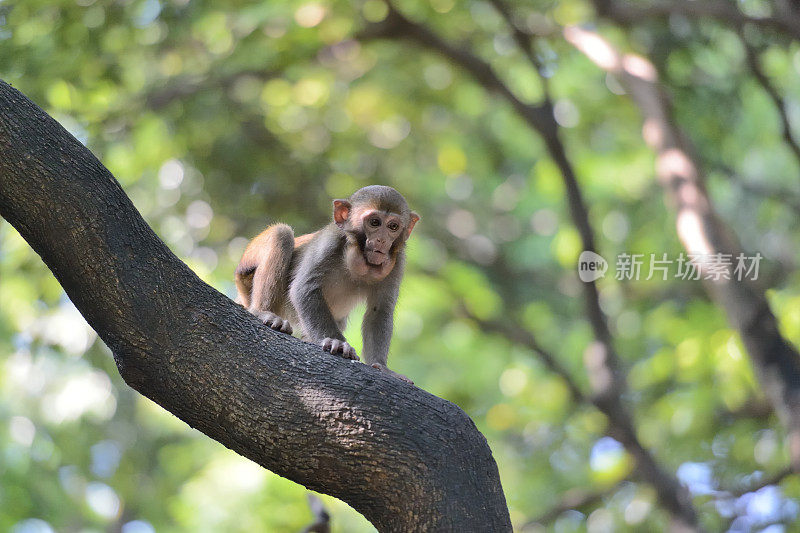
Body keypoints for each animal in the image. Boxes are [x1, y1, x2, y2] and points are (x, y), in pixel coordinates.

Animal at [234, 185, 418, 380]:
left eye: (393, 226)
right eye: (374, 222)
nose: (382, 240)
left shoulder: (397, 263)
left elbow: (380, 311)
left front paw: (381, 365)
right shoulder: (331, 240)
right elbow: (304, 289)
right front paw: (338, 342)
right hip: (245, 273)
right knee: (281, 234)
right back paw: (264, 312)